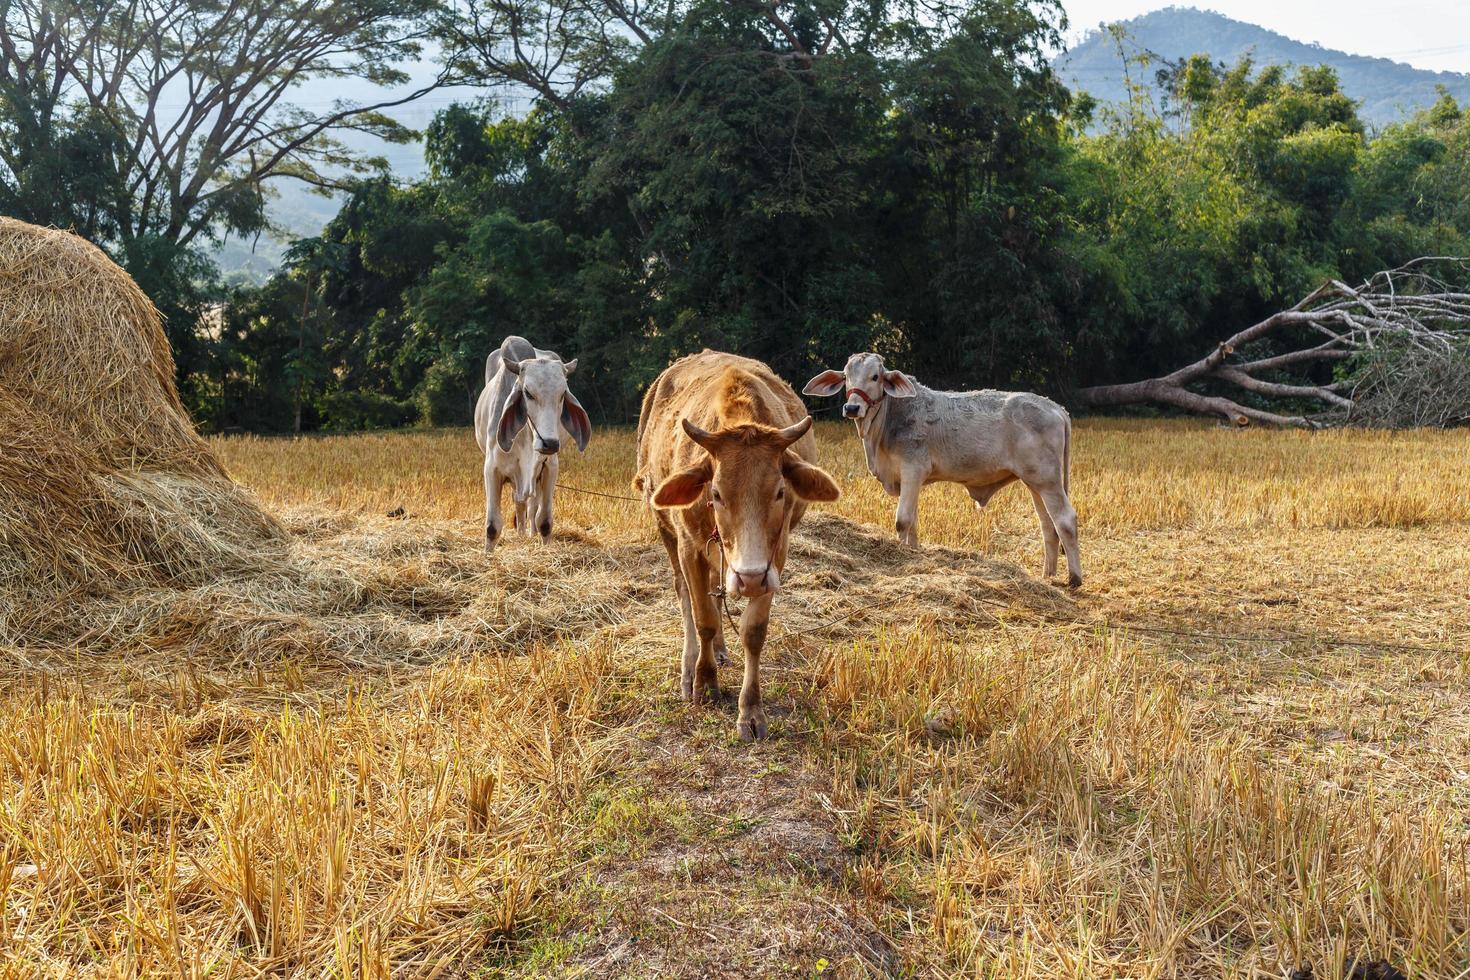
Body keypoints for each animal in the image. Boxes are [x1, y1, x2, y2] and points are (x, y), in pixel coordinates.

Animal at [470, 334, 585, 552]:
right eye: (528, 393)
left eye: (562, 395)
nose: (549, 443)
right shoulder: (492, 469)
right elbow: (492, 526)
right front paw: (488, 554)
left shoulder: (549, 467)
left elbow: (544, 521)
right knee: (520, 502)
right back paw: (522, 533)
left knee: (531, 507)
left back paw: (529, 533)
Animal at [635, 348, 840, 740]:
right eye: (715, 493)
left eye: (779, 492)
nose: (749, 578)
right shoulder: (689, 547)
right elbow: (702, 617)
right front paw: (704, 682)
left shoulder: (775, 557)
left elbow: (753, 631)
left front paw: (751, 710)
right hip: (666, 530)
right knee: (686, 596)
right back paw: (691, 664)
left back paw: (719, 649)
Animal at [805, 352, 1081, 587]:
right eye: (846, 377)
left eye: (875, 377)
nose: (852, 408)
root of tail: (1057, 408)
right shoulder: (910, 480)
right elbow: (913, 521)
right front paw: (913, 552)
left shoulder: (912, 469)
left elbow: (903, 521)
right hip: (1034, 483)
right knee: (1048, 526)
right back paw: (1048, 576)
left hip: (1048, 481)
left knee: (1065, 520)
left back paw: (1074, 578)